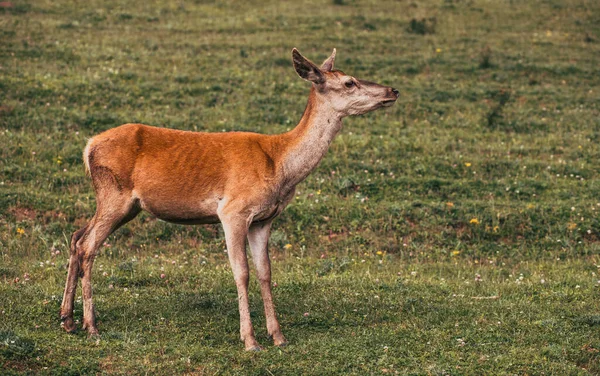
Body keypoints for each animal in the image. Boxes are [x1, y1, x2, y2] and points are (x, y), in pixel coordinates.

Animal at [59, 48, 398, 352]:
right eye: (349, 82)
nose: (393, 90)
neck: (280, 164)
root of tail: (88, 147)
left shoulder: (264, 219)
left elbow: (265, 272)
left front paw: (278, 336)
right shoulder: (233, 211)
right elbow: (242, 272)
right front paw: (250, 341)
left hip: (124, 205)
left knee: (76, 236)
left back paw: (67, 320)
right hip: (114, 195)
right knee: (88, 245)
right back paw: (91, 326)